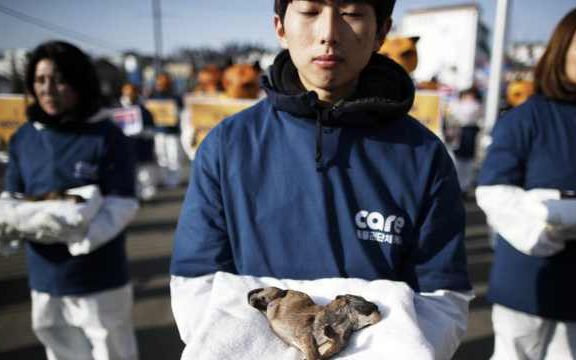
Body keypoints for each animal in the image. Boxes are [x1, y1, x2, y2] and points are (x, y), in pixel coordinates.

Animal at [248, 286, 382, 358]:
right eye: (363, 299)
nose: (378, 307)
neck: (345, 320)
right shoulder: (305, 332)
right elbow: (312, 349)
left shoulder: (330, 347)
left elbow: (329, 348)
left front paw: (329, 333)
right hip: (272, 294)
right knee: (261, 295)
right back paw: (257, 299)